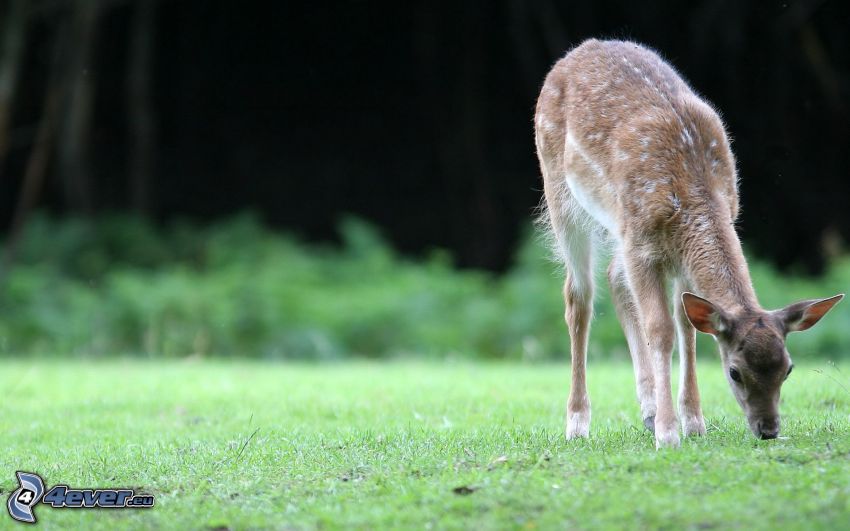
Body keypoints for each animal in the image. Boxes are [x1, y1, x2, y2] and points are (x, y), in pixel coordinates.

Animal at [532, 39, 840, 450]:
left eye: (788, 368)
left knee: (614, 275)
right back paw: (577, 423)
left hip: (616, 225)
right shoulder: (641, 243)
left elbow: (687, 325)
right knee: (578, 296)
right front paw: (668, 433)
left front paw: (693, 422)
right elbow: (661, 330)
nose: (769, 429)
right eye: (734, 372)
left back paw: (646, 410)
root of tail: (577, 51)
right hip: (560, 192)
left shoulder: (675, 253)